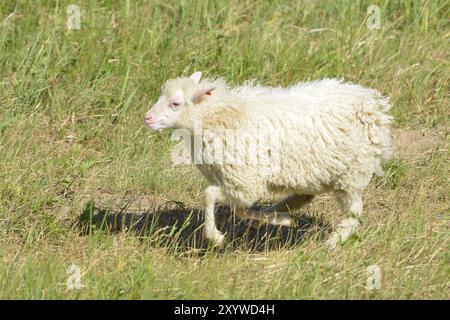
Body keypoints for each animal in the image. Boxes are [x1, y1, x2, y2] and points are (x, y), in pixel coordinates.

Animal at [144, 71, 390, 249]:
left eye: (176, 103)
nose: (147, 118)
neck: (218, 116)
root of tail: (373, 104)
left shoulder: (244, 181)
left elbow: (211, 195)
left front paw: (215, 237)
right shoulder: (236, 182)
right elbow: (238, 209)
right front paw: (275, 220)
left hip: (352, 173)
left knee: (354, 213)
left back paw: (333, 241)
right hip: (313, 172)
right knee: (303, 196)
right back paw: (279, 212)